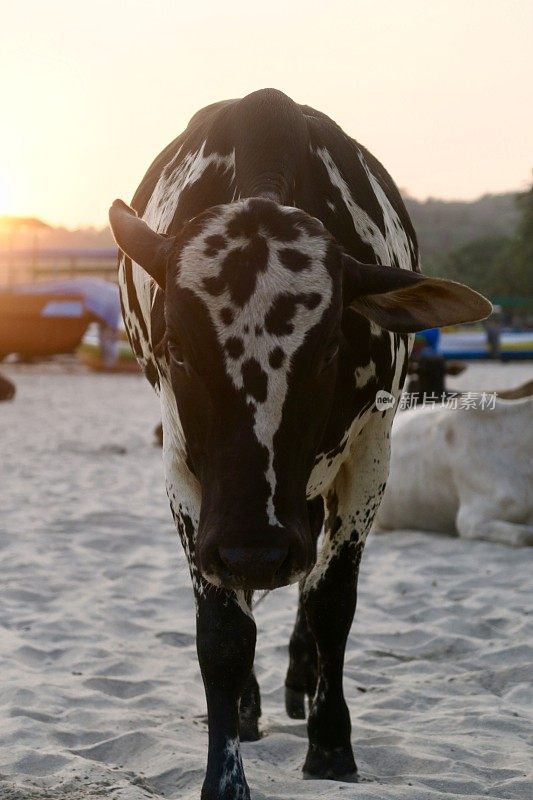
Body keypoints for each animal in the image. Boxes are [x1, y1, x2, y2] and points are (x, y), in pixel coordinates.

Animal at [108, 89, 490, 800]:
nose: (254, 550)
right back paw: (253, 705)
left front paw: (332, 743)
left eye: (331, 349)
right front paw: (225, 771)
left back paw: (298, 682)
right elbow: (225, 632)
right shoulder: (188, 477)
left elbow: (330, 601)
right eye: (177, 347)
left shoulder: (371, 452)